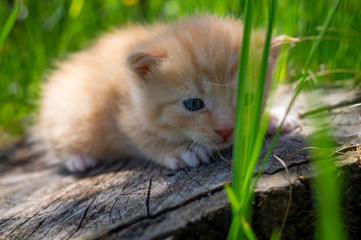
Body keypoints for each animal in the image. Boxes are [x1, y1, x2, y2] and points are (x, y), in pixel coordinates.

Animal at [33, 15, 294, 172]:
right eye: (193, 104)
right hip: (71, 115)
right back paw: (77, 159)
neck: (134, 90)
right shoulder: (123, 115)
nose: (227, 130)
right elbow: (144, 137)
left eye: (248, 99)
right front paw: (181, 150)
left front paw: (272, 118)